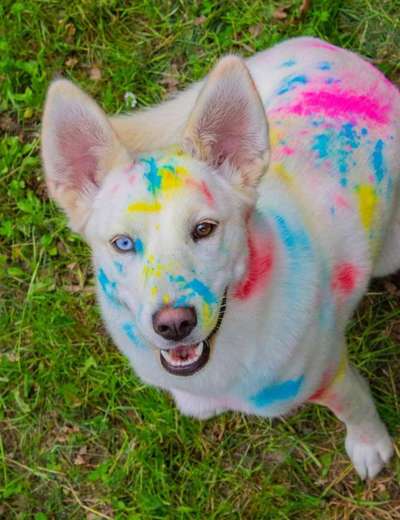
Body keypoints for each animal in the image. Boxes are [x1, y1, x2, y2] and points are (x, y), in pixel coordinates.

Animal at [42, 37, 398, 480]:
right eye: (123, 243)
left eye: (204, 229)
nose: (174, 325)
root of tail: (320, 45)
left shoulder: (332, 375)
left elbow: (357, 406)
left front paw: (370, 444)